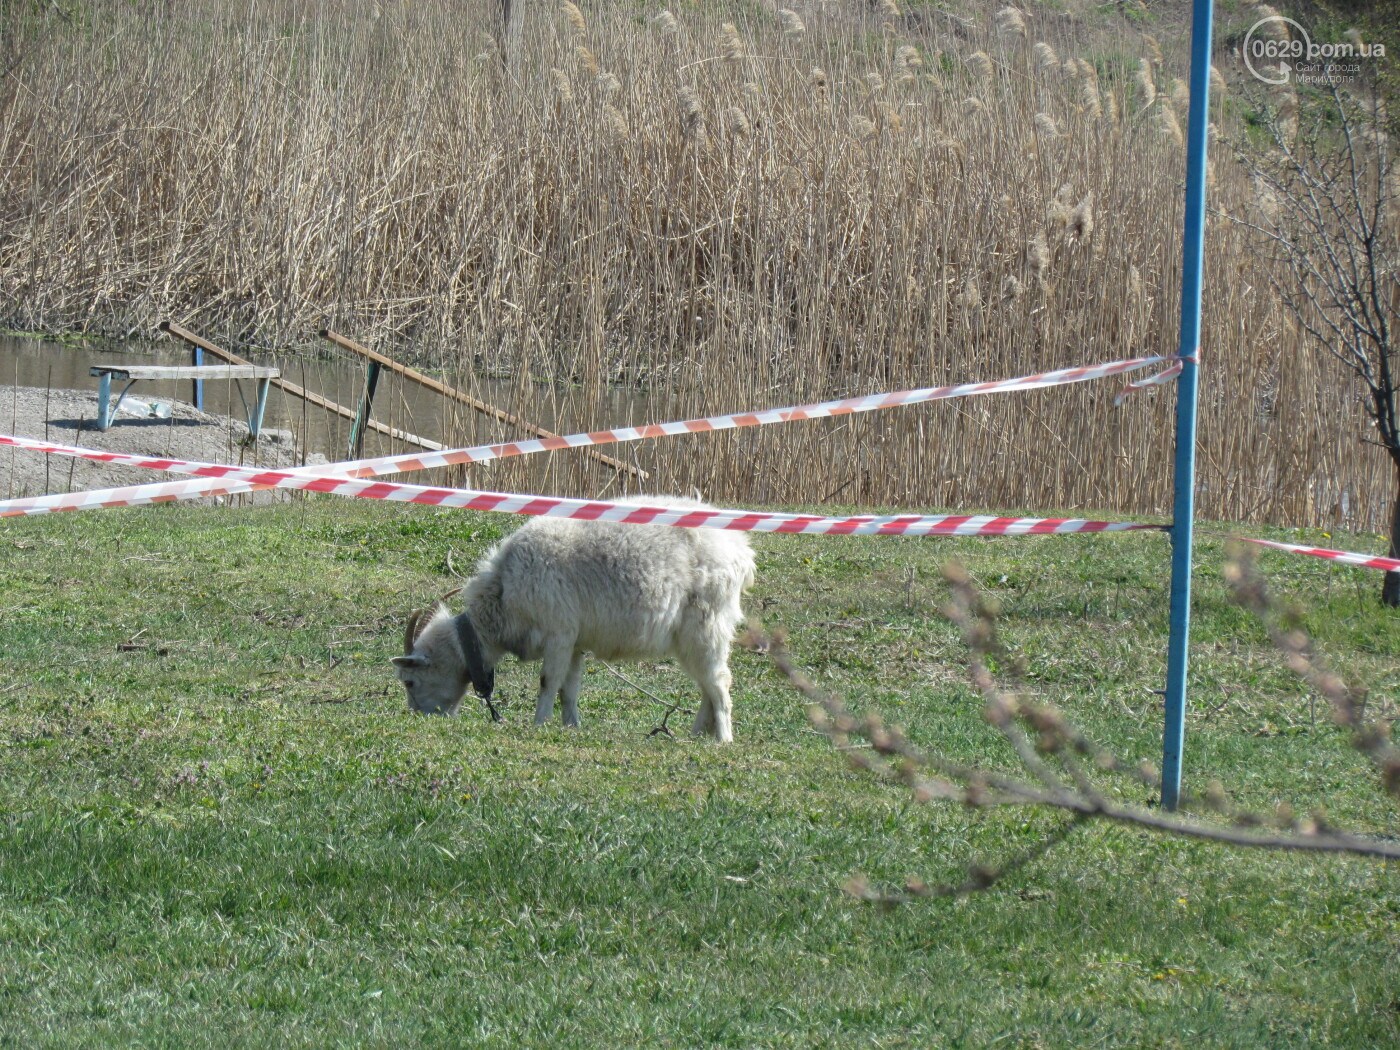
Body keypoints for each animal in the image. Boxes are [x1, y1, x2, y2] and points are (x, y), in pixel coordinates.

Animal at [389, 498, 761, 744]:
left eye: (409, 681)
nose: (420, 717)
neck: (504, 593)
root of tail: (741, 551)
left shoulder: (559, 633)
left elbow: (548, 681)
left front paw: (538, 724)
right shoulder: (575, 643)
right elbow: (570, 687)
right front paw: (571, 726)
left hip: (706, 624)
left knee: (719, 682)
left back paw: (722, 740)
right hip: (691, 637)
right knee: (706, 683)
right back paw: (697, 734)